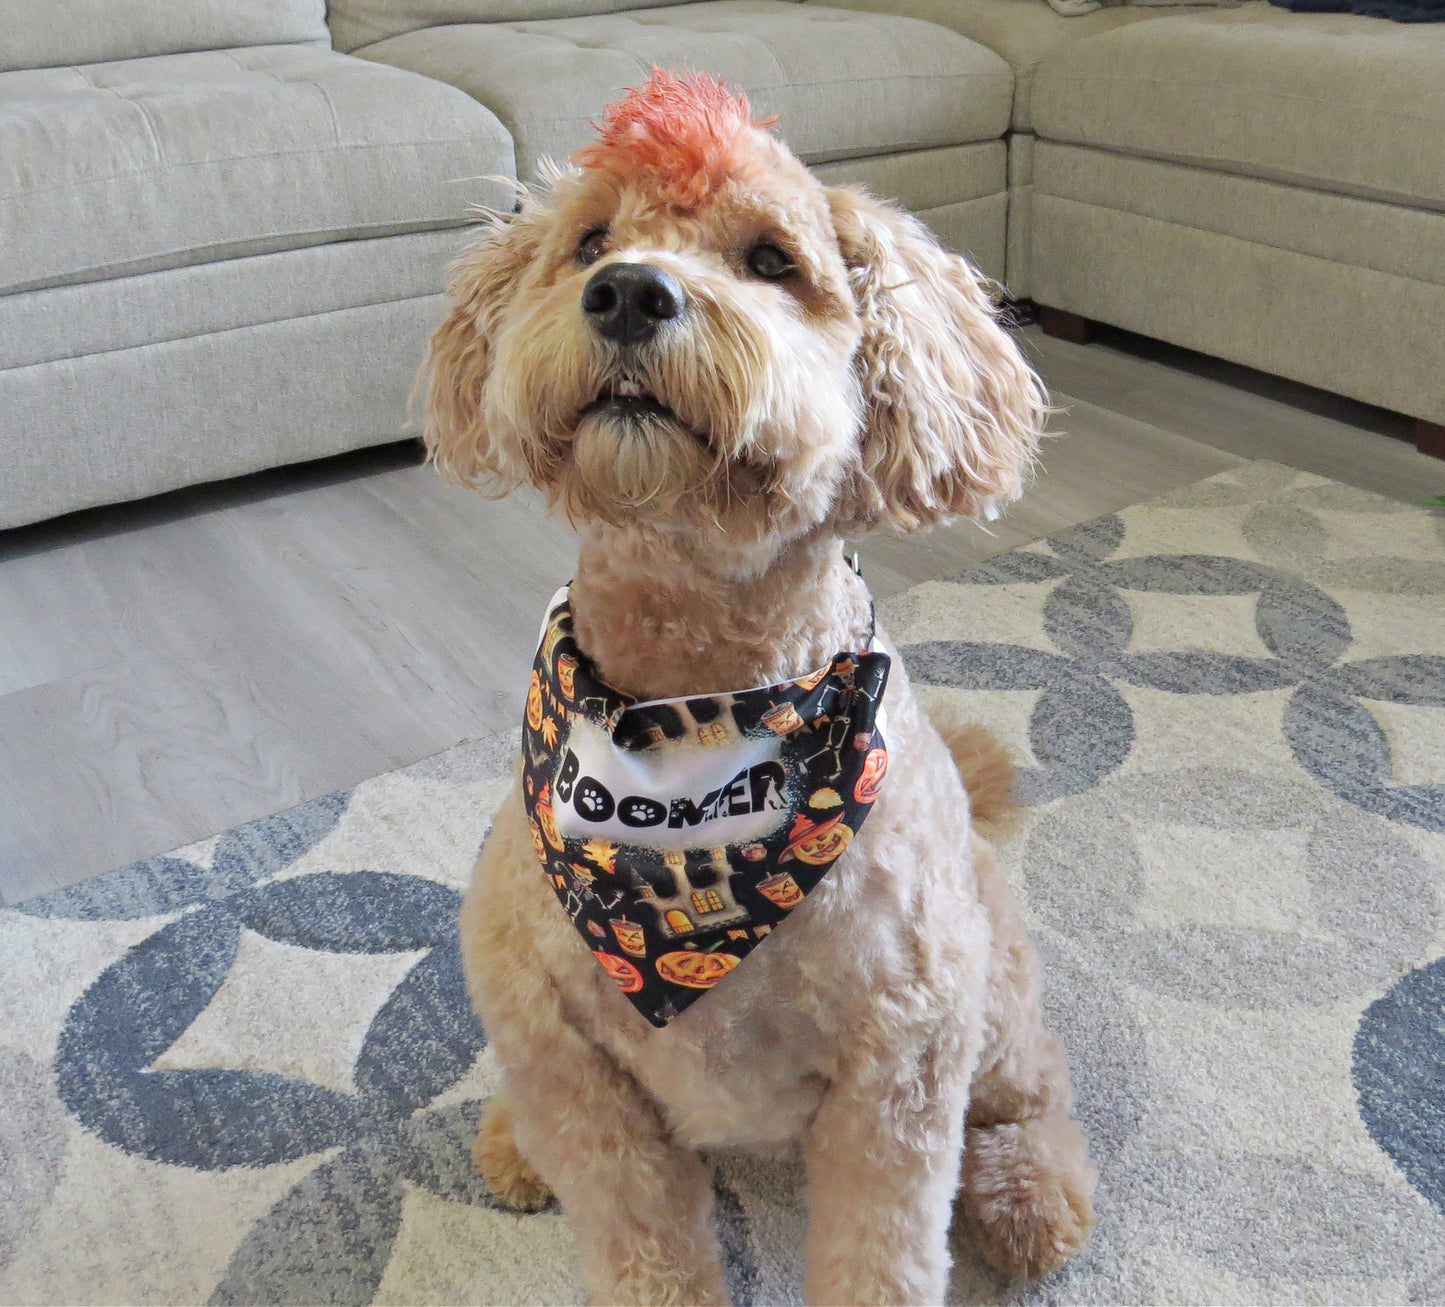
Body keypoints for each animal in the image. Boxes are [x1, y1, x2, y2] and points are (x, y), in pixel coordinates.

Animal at [421, 71, 1086, 1307]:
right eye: (589, 241)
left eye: (773, 259)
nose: (628, 292)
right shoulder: (572, 1070)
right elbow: (643, 1247)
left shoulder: (899, 1067)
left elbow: (881, 1251)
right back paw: (507, 1142)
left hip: (995, 1000)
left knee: (1032, 1086)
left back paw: (1031, 1196)